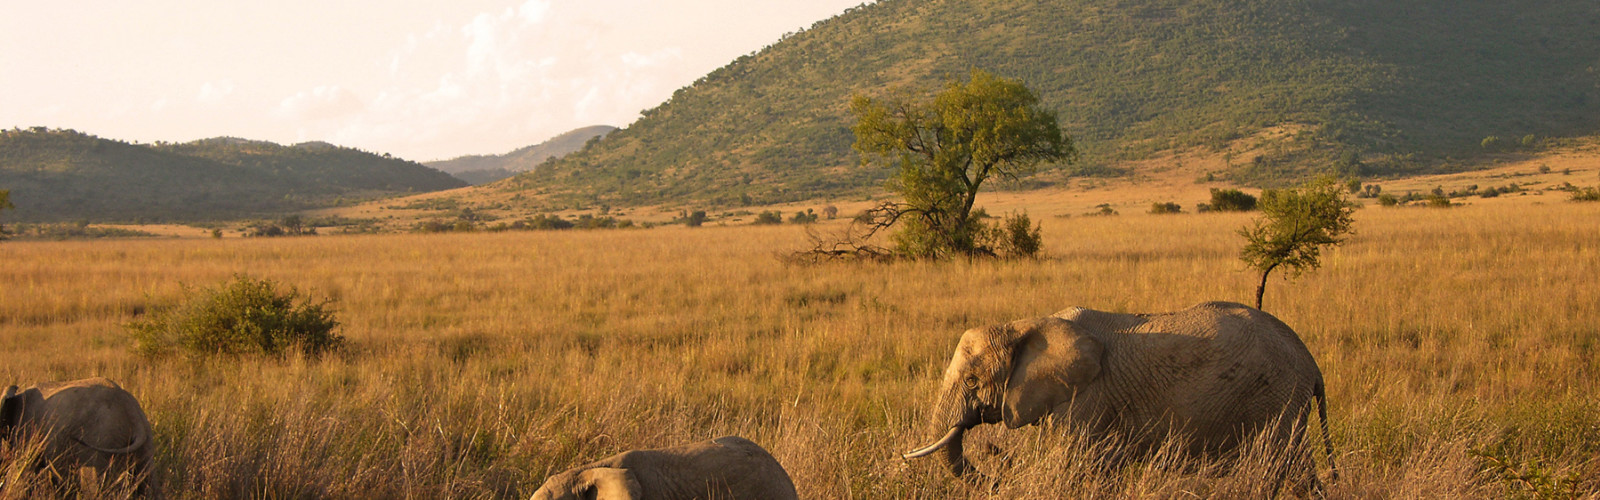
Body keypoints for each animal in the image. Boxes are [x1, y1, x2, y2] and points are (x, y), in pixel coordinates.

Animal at [0, 376, 156, 490]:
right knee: (147, 483)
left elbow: (20, 471)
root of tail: (132, 412)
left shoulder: (26, 429)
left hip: (101, 439)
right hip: (146, 441)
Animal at [908, 302, 1331, 487]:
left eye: (972, 381)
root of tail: (1311, 362)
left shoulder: (1089, 398)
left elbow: (1075, 466)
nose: (999, 465)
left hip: (1275, 398)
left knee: (1278, 465)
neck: (1025, 324)